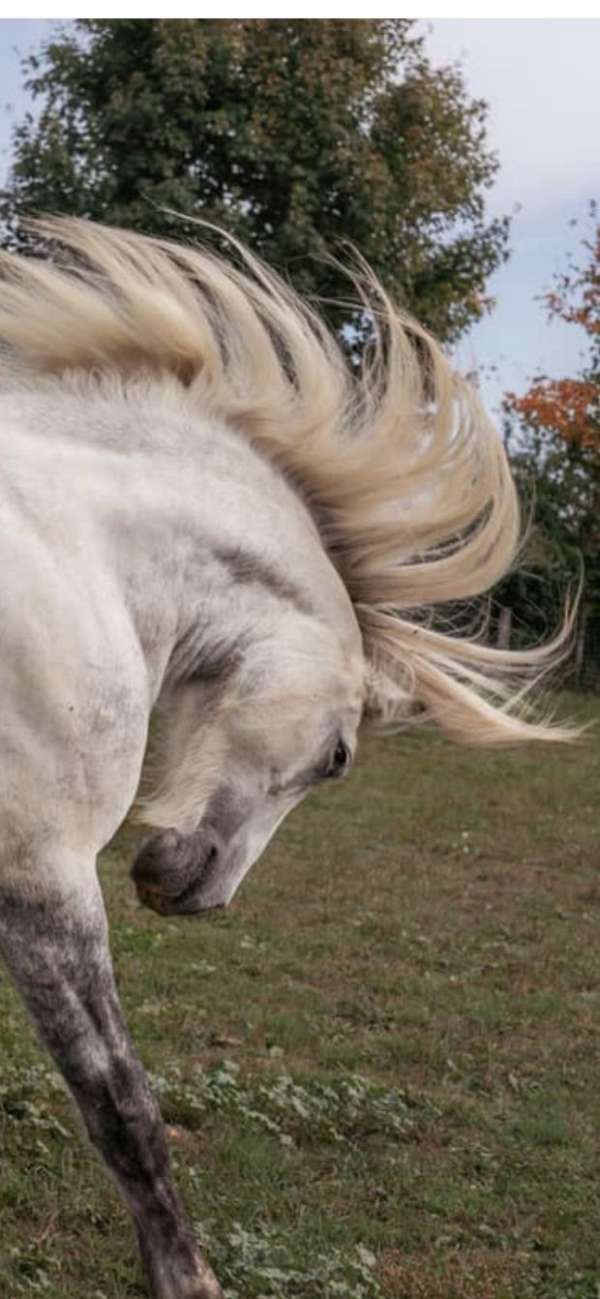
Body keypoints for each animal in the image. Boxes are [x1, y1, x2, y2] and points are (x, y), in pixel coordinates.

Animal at [0, 218, 571, 1293]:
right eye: (339, 757)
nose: (200, 893)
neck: (75, 550)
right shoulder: (43, 875)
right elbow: (123, 1105)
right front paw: (188, 1276)